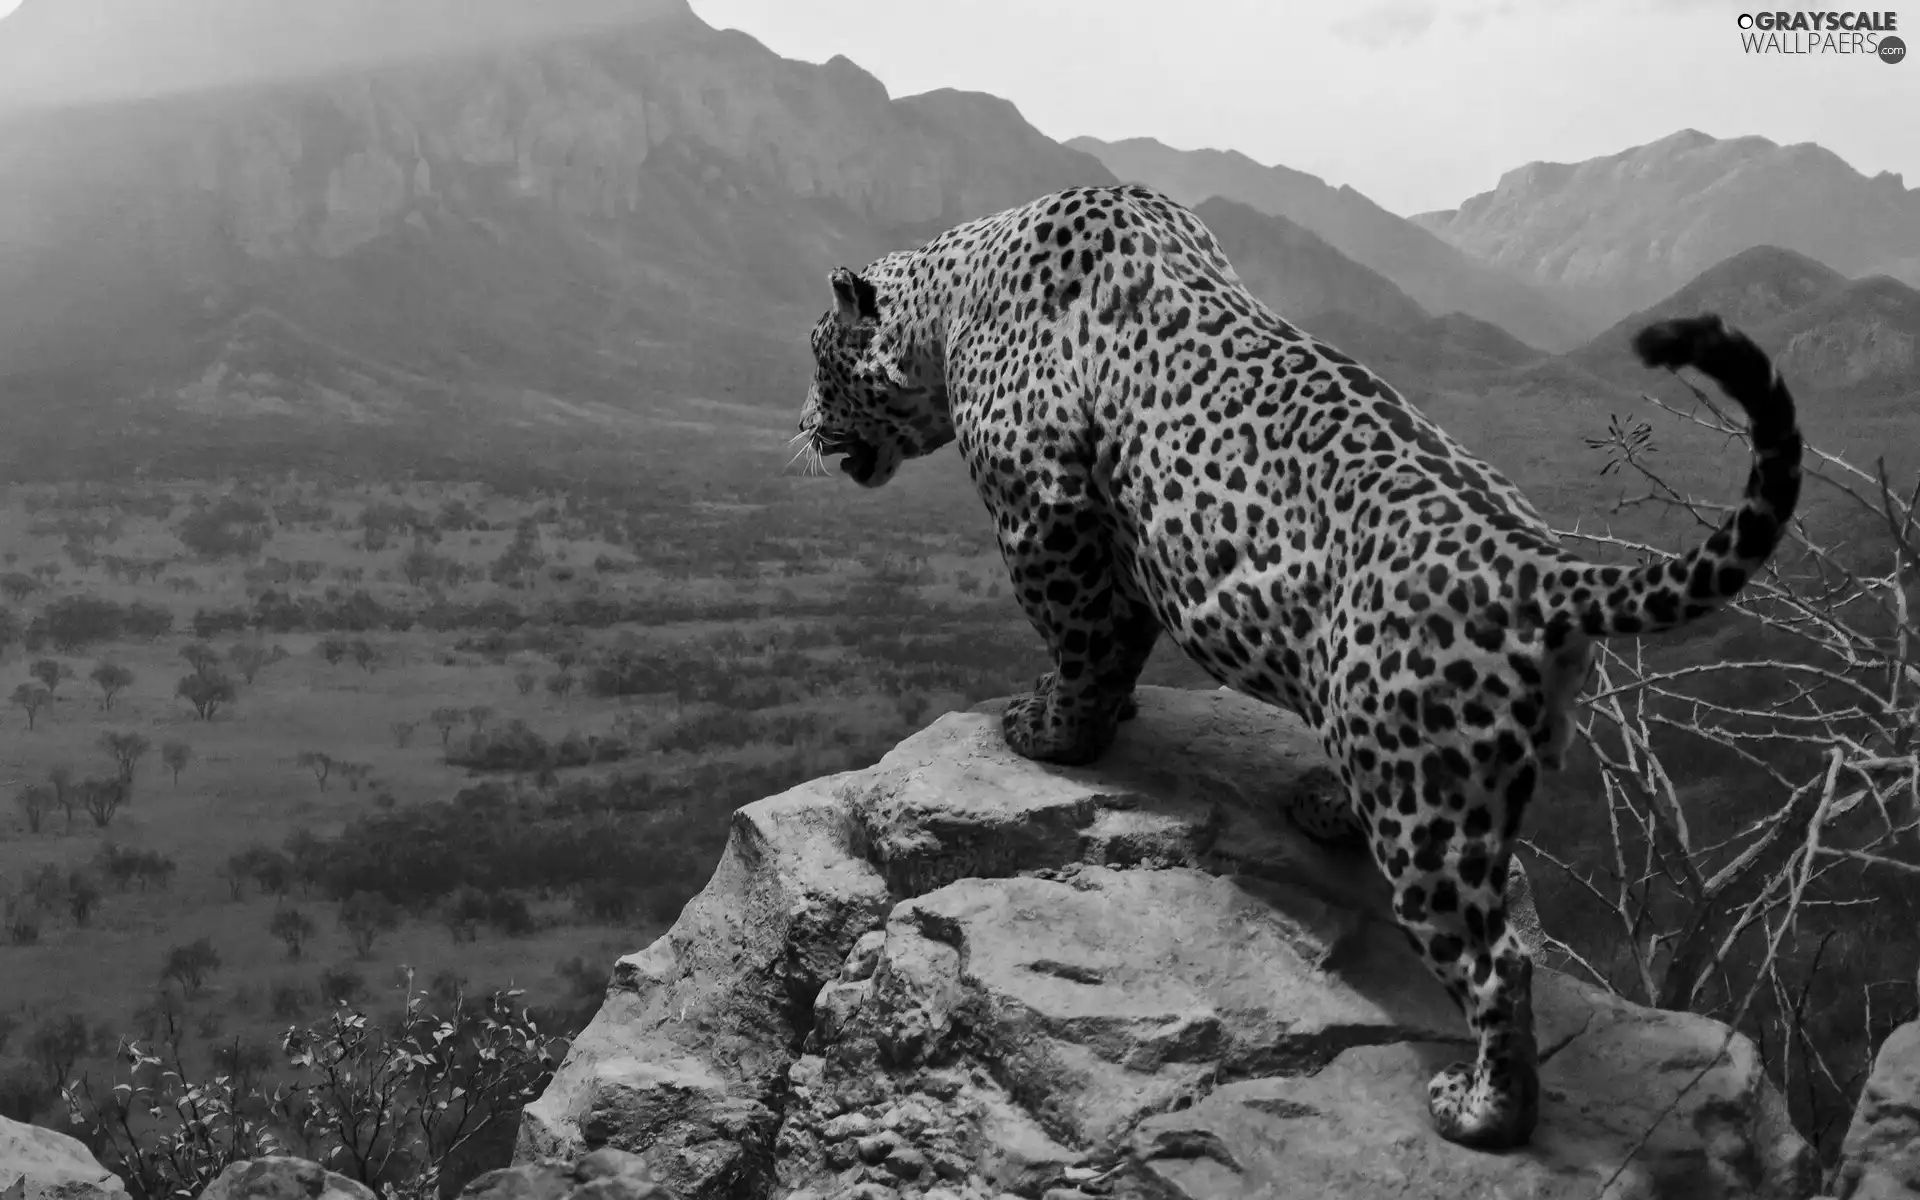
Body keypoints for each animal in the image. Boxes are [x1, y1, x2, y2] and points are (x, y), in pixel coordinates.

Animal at [791, 182, 1797, 1144]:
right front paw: (1103, 714)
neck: (950, 300)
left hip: (1424, 795)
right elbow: (1116, 640)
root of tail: (1541, 568)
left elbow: (1082, 638)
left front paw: (1051, 732)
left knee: (1497, 963)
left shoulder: (1045, 508)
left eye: (817, 359)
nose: (799, 424)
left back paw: (1485, 1113)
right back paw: (1321, 806)